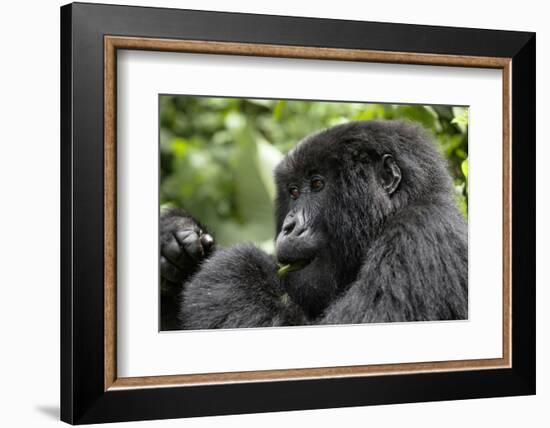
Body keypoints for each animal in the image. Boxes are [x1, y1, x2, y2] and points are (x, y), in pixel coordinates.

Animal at [161, 120, 470, 332]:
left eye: (318, 184)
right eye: (294, 191)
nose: (289, 227)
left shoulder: (418, 237)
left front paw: (234, 266)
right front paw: (173, 237)